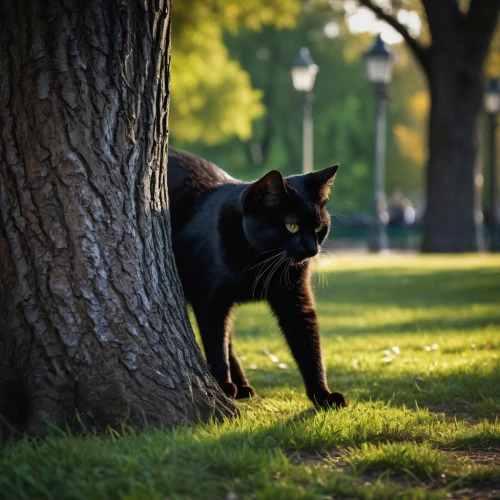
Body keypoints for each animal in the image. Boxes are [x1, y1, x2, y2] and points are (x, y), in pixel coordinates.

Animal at [168, 146, 348, 408]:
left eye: (318, 227)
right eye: (292, 227)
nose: (312, 250)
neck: (260, 260)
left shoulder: (294, 299)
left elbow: (309, 345)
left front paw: (322, 395)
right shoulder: (209, 300)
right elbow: (215, 343)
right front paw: (223, 385)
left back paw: (243, 386)